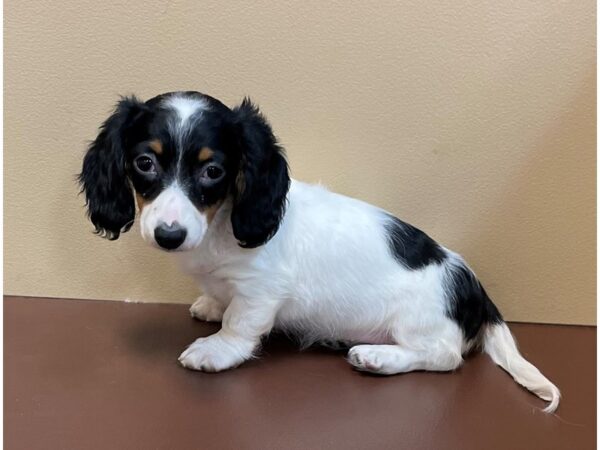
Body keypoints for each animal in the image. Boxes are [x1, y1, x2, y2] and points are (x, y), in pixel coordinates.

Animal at [81, 90, 564, 412]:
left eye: (213, 171)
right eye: (144, 162)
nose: (169, 235)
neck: (222, 223)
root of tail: (473, 287)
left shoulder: (261, 290)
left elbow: (240, 324)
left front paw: (216, 349)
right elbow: (222, 298)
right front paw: (212, 304)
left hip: (420, 322)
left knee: (444, 357)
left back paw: (377, 357)